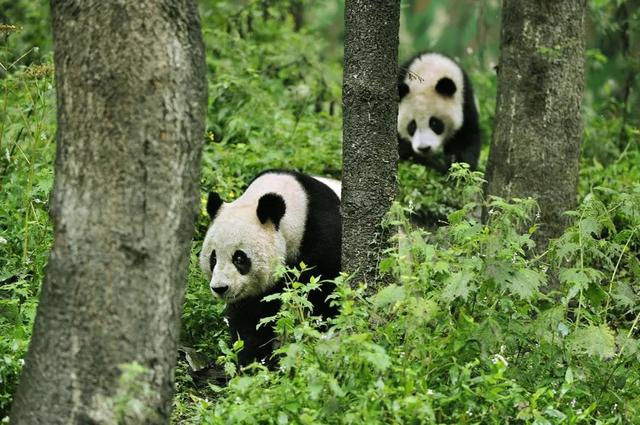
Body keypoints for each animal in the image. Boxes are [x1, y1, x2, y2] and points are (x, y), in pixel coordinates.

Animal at [200, 171, 342, 366]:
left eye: (239, 258)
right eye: (213, 258)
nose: (220, 288)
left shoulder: (323, 235)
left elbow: (325, 294)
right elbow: (251, 316)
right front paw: (253, 360)